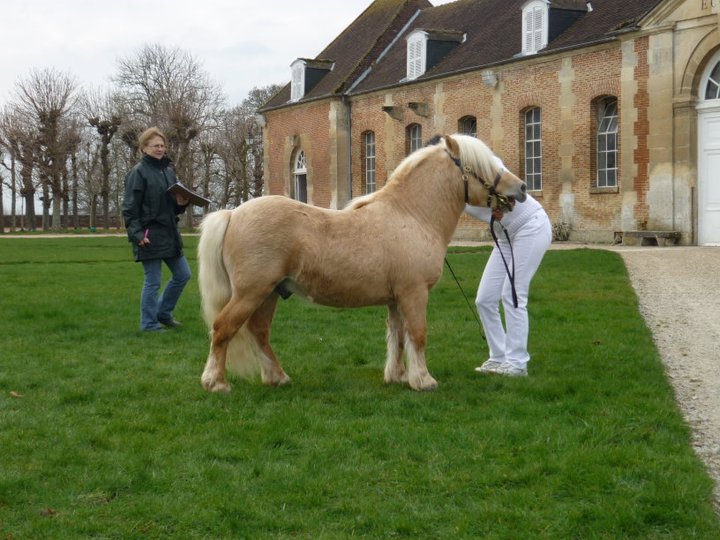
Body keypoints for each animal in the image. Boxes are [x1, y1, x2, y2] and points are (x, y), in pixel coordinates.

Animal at [200, 134, 524, 392]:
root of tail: (233, 214)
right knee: (223, 328)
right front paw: (424, 381)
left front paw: (399, 376)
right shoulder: (414, 293)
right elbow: (417, 335)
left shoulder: (396, 299)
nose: (520, 188)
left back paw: (277, 377)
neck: (412, 215)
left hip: (269, 293)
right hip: (251, 292)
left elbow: (399, 337)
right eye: (485, 165)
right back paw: (217, 383)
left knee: (259, 332)